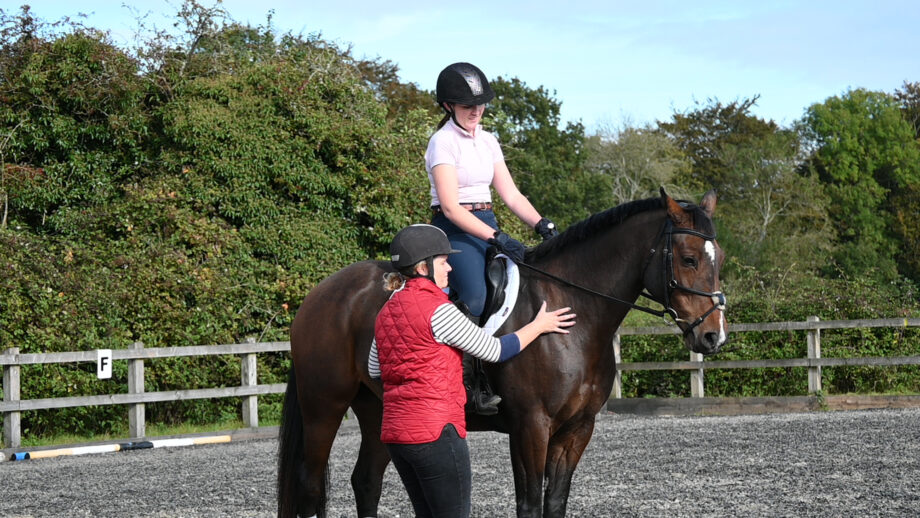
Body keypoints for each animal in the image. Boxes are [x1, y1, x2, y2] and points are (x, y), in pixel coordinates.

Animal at [278, 188, 727, 518]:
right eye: (688, 260)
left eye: (718, 259)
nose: (712, 336)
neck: (572, 315)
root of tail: (319, 294)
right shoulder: (530, 427)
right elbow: (528, 505)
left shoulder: (577, 430)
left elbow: (554, 504)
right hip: (324, 407)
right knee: (310, 485)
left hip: (378, 410)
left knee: (366, 481)